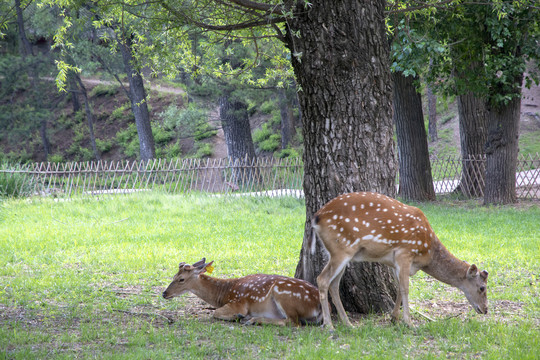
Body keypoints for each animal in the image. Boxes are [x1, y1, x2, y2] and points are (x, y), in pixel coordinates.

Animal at [163, 256, 324, 326]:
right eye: (174, 276)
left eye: (181, 279)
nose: (164, 293)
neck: (224, 292)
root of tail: (319, 304)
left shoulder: (238, 302)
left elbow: (215, 313)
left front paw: (238, 316)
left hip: (284, 295)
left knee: (292, 322)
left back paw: (251, 319)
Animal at [308, 191, 490, 330]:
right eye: (482, 288)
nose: (485, 309)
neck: (427, 251)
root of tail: (316, 218)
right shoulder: (405, 252)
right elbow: (405, 288)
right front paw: (409, 323)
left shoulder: (394, 261)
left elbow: (397, 289)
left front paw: (394, 318)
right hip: (341, 249)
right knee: (322, 279)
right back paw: (329, 326)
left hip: (340, 254)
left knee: (334, 284)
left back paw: (348, 324)